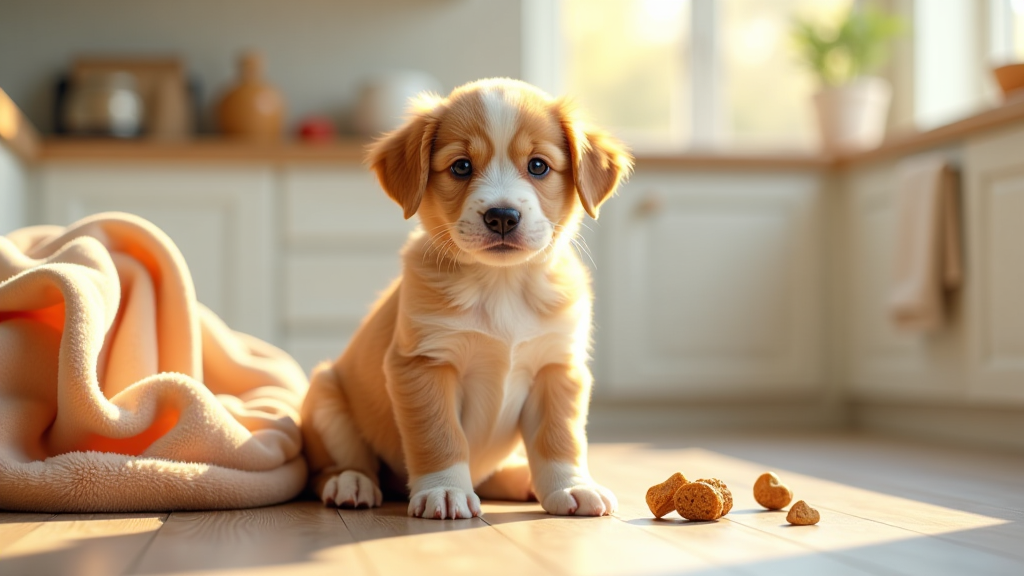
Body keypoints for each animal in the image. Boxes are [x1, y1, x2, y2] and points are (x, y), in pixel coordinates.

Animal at [296, 75, 630, 516]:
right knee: (332, 469)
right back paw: (350, 482)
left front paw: (571, 486)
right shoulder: (424, 364)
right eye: (461, 166)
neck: (501, 285)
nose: (502, 217)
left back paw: (522, 479)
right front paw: (444, 490)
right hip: (326, 397)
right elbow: (440, 437)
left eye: (538, 165)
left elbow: (560, 438)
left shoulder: (557, 367)